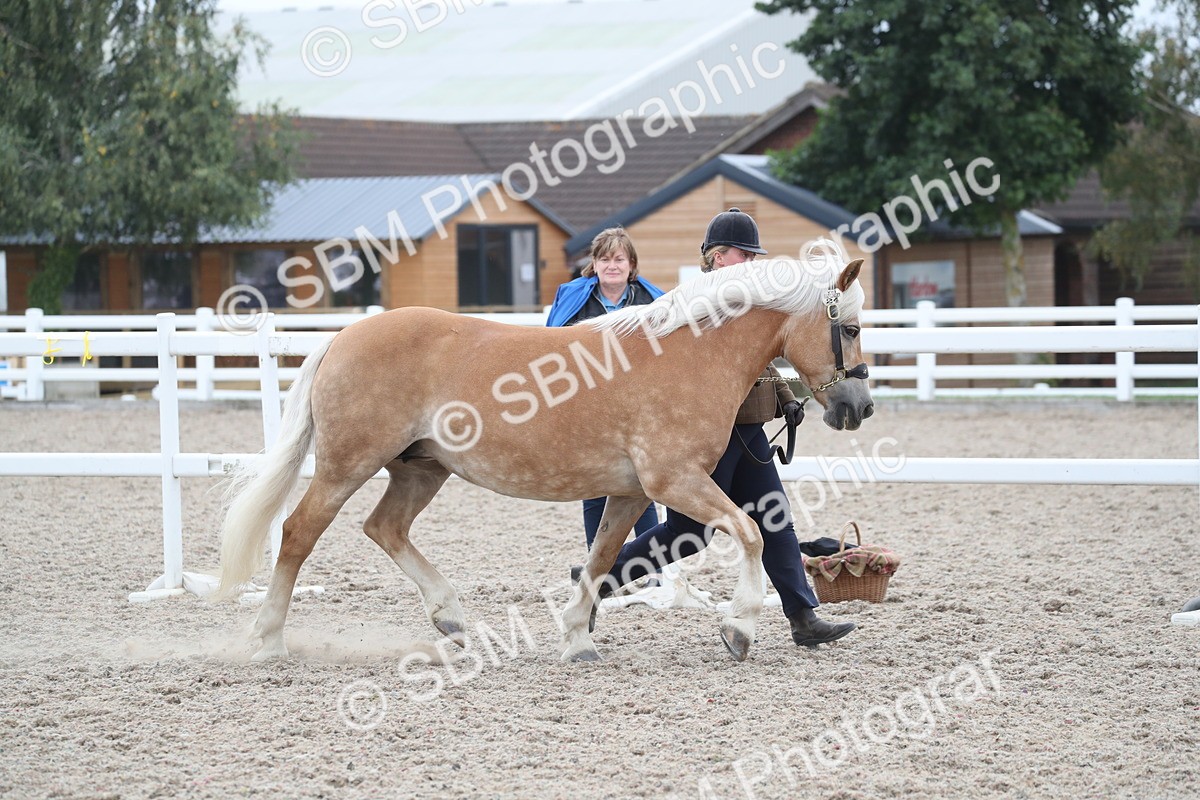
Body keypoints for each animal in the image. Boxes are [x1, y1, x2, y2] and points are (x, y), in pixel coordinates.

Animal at [214, 241, 874, 663]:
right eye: (852, 328)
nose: (859, 407)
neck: (689, 352)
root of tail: (342, 337)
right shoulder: (675, 482)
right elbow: (753, 533)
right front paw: (738, 629)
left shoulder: (630, 493)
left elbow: (603, 557)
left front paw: (578, 638)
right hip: (345, 466)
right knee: (298, 533)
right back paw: (268, 640)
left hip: (422, 469)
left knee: (384, 527)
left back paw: (452, 618)